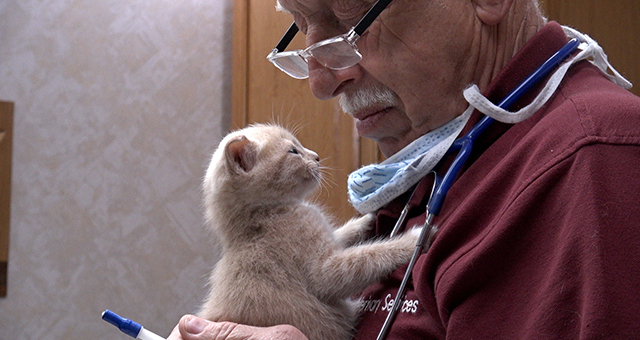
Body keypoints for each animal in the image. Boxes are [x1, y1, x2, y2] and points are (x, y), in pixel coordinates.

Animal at [200, 124, 420, 340]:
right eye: (293, 151)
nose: (316, 156)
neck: (262, 217)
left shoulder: (325, 235)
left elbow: (340, 234)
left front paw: (367, 218)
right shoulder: (324, 268)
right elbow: (368, 256)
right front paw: (412, 240)